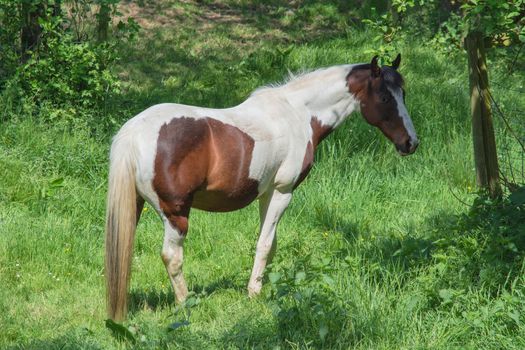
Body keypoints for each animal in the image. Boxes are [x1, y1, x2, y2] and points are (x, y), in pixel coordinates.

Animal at [105, 54, 418, 320]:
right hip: (176, 213)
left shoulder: (266, 194)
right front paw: (254, 293)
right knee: (172, 257)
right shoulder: (282, 192)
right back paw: (186, 304)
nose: (411, 143)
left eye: (403, 95)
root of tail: (135, 132)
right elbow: (265, 244)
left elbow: (270, 242)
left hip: (135, 207)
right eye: (384, 97)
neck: (298, 114)